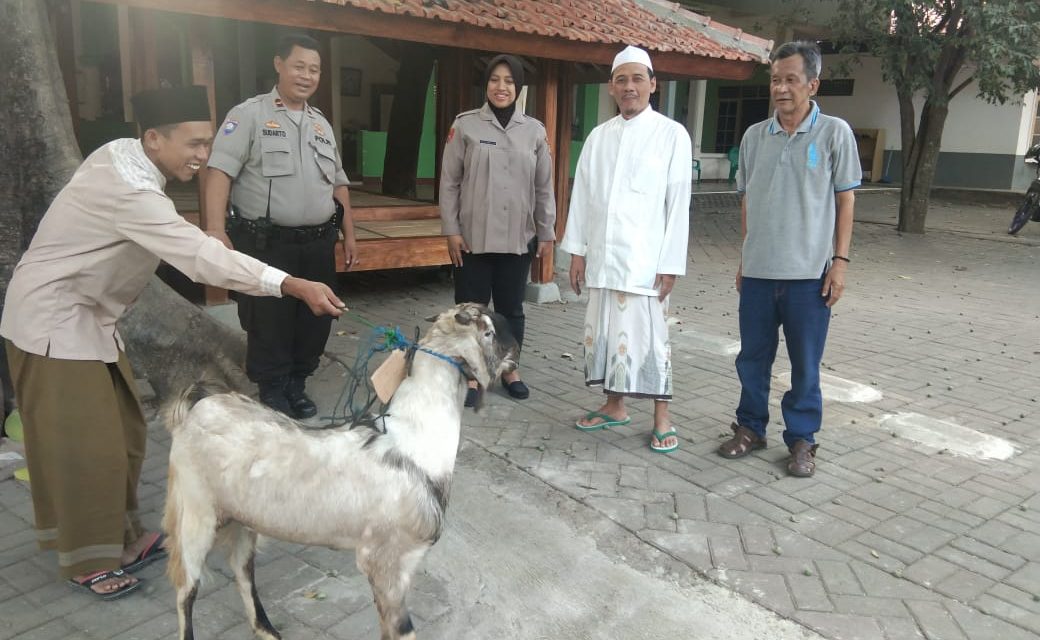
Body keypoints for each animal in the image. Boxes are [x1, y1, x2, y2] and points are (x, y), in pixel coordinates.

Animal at [161, 305, 515, 640]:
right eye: (490, 331)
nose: (514, 351)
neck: (412, 439)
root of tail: (195, 408)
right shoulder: (385, 561)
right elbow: (402, 629)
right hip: (194, 511)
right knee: (185, 587)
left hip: (242, 518)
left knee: (241, 568)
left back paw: (267, 629)